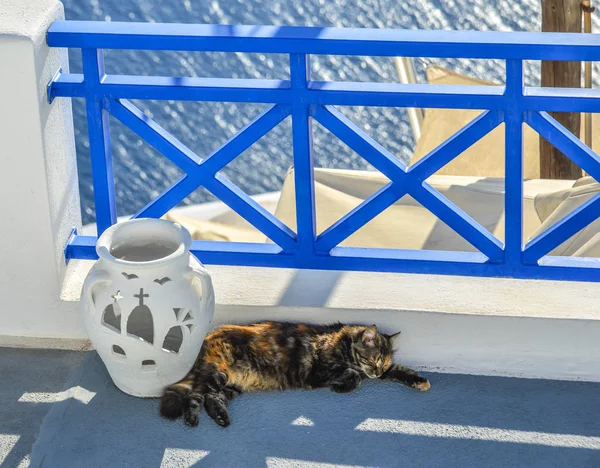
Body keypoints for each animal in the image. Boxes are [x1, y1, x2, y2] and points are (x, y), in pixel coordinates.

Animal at [159, 322, 432, 428]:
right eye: (374, 359)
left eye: (383, 363)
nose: (376, 373)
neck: (344, 343)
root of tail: (207, 338)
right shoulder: (321, 371)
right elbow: (353, 375)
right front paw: (341, 387)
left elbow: (400, 371)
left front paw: (420, 381)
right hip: (217, 373)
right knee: (195, 396)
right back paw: (191, 419)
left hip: (230, 385)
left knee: (212, 398)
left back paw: (221, 418)